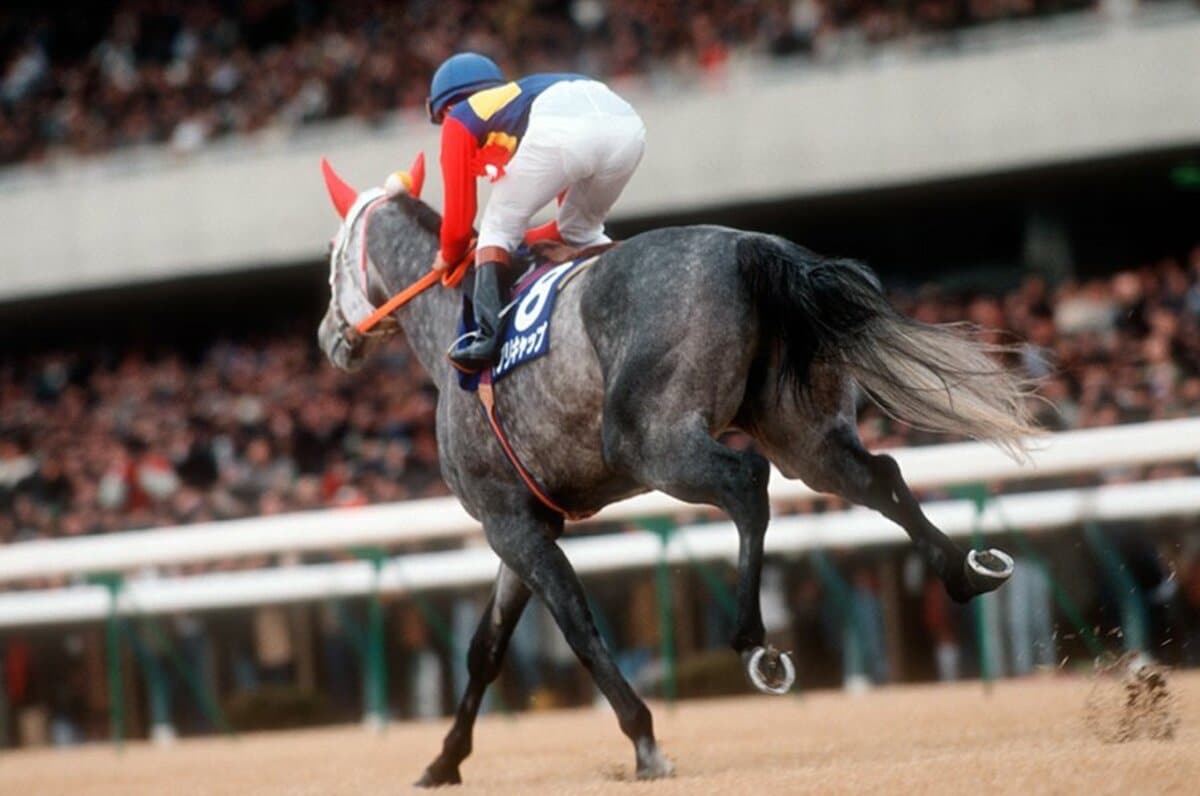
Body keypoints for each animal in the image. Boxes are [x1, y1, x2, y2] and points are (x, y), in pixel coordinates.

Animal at [316, 157, 1037, 786]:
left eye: (331, 252)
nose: (328, 337)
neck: (454, 323)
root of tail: (748, 246)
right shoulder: (525, 520)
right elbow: (485, 650)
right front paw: (443, 762)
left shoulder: (507, 523)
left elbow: (577, 628)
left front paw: (644, 740)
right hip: (802, 435)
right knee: (878, 477)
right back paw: (965, 572)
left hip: (653, 442)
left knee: (747, 483)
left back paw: (752, 641)